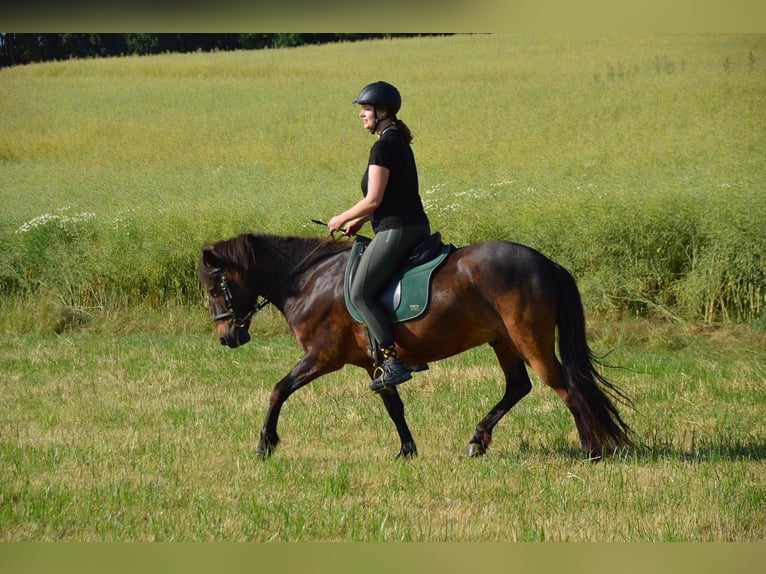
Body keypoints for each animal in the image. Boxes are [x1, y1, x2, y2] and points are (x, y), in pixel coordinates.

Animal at [198, 232, 633, 460]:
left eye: (214, 288)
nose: (228, 338)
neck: (309, 280)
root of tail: (546, 263)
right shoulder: (374, 364)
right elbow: (394, 405)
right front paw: (407, 450)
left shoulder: (322, 356)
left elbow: (278, 389)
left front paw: (264, 444)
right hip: (503, 341)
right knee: (518, 387)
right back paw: (477, 440)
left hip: (530, 340)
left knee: (567, 388)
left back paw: (590, 451)